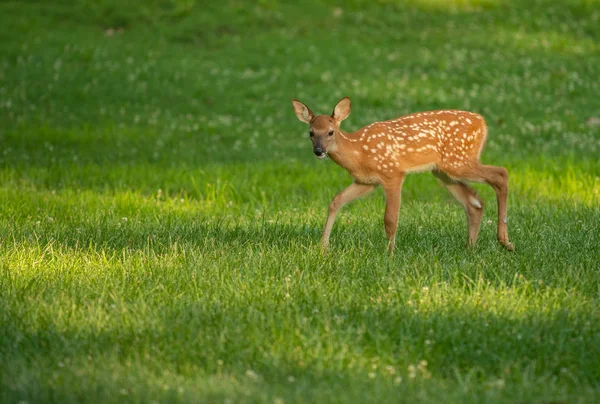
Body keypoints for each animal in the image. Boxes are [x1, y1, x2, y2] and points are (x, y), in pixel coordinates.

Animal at [292, 97, 516, 252]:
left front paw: (389, 253)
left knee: (501, 174)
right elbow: (335, 201)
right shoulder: (366, 182)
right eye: (311, 133)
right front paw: (323, 247)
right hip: (442, 171)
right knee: (474, 202)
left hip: (458, 161)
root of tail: (483, 122)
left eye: (330, 132)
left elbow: (390, 219)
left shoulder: (392, 173)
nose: (319, 151)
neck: (359, 152)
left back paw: (505, 241)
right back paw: (470, 248)